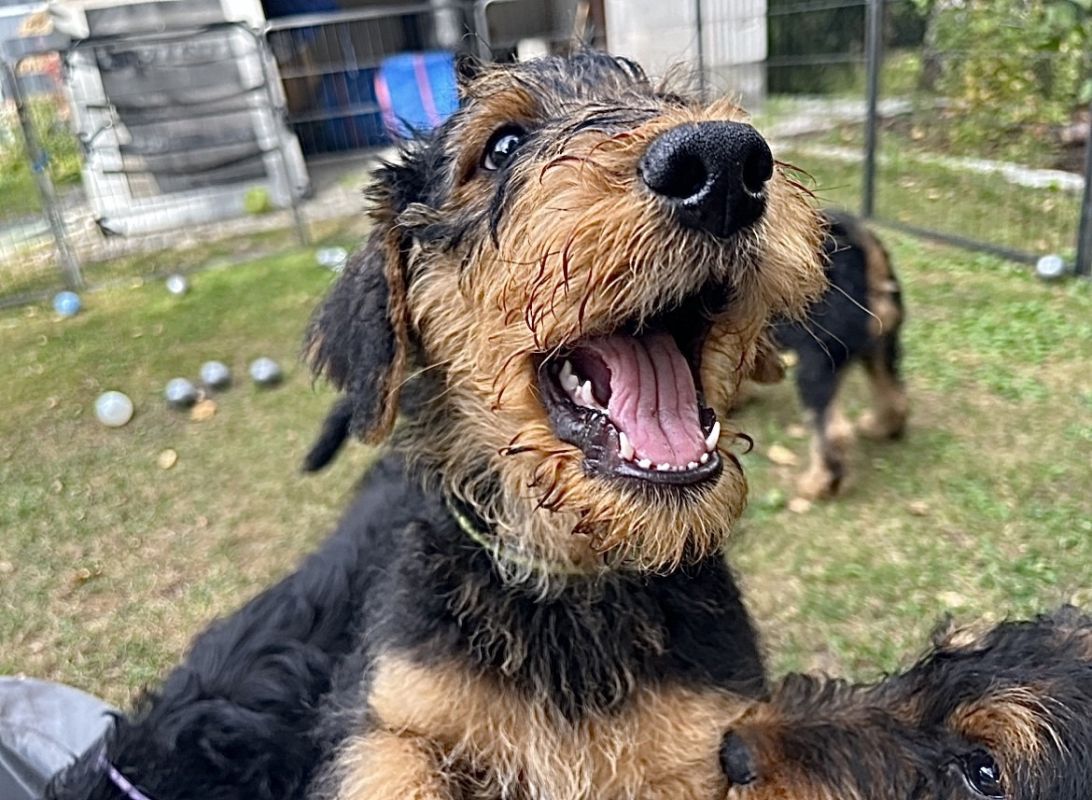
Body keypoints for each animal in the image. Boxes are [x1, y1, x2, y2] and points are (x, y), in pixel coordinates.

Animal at [303, 51, 826, 800]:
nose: (724, 162)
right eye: (501, 146)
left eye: (673, 104)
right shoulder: (391, 715)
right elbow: (389, 769)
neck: (571, 584)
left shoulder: (708, 732)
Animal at [755, 211, 908, 500]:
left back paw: (818, 484)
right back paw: (881, 427)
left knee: (833, 432)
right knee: (894, 395)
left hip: (816, 367)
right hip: (881, 348)